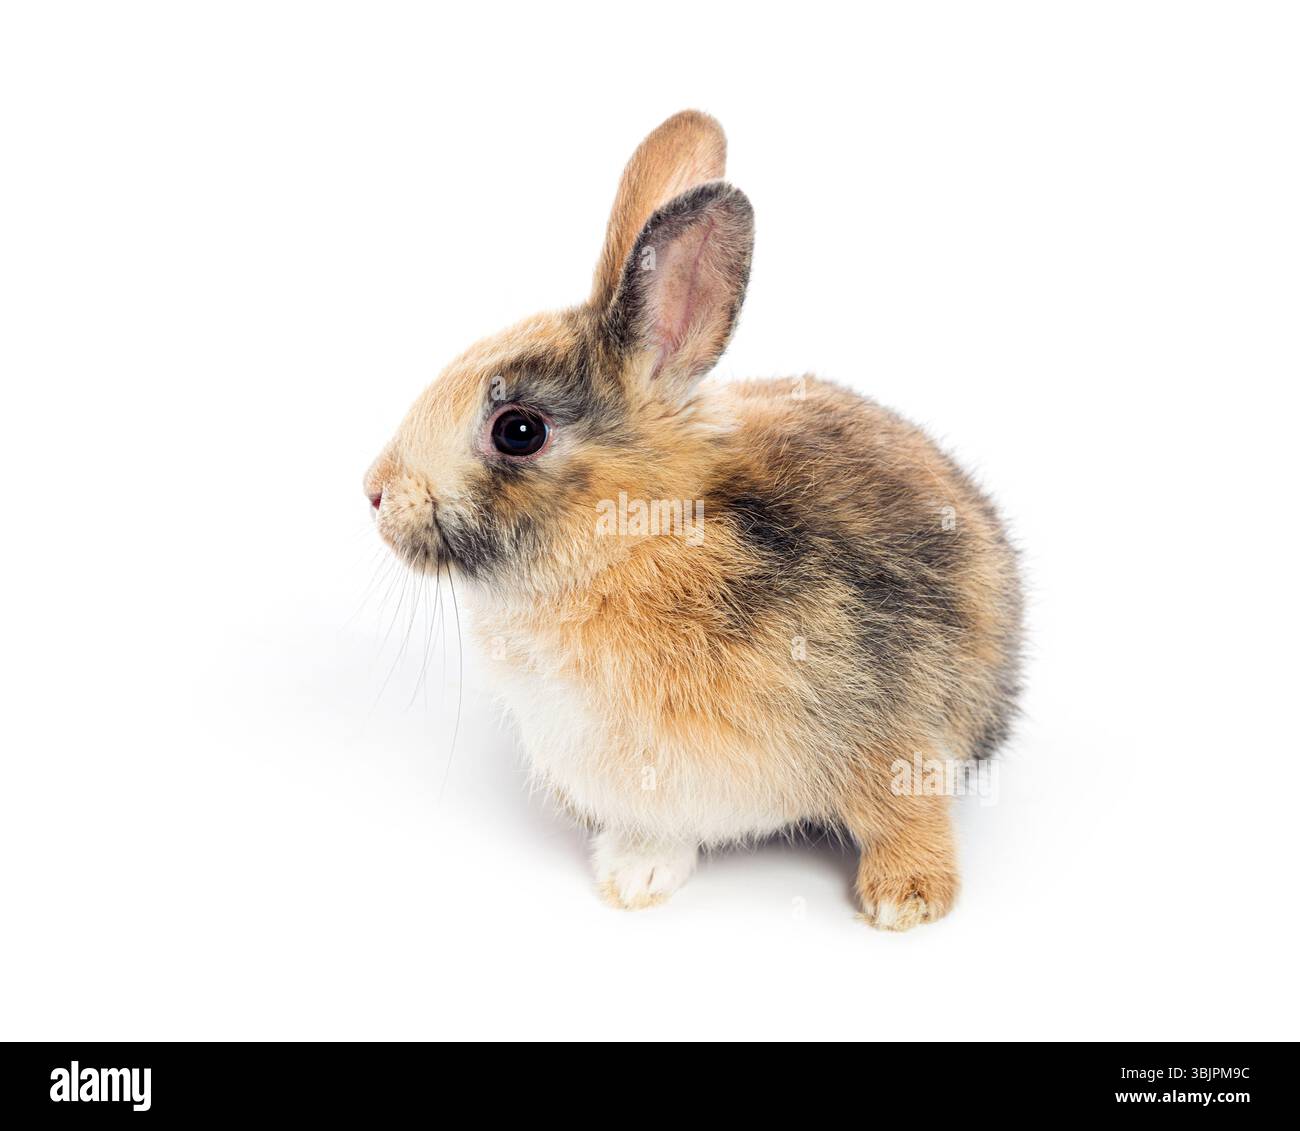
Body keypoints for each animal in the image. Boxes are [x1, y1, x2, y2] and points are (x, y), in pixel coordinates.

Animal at [364, 110, 1023, 930]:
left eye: (518, 430)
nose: (375, 491)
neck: (640, 542)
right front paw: (634, 879)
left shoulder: (897, 724)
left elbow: (907, 813)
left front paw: (907, 900)